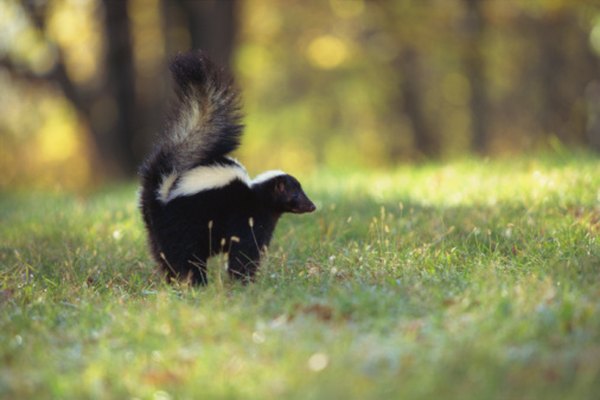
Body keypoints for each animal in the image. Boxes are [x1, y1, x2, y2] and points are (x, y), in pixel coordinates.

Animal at [140, 51, 316, 286]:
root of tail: (163, 190)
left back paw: (174, 283)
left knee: (163, 256)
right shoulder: (247, 220)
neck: (257, 195)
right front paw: (244, 282)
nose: (312, 206)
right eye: (295, 194)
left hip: (155, 231)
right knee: (186, 256)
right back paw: (196, 282)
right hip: (184, 224)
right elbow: (244, 252)